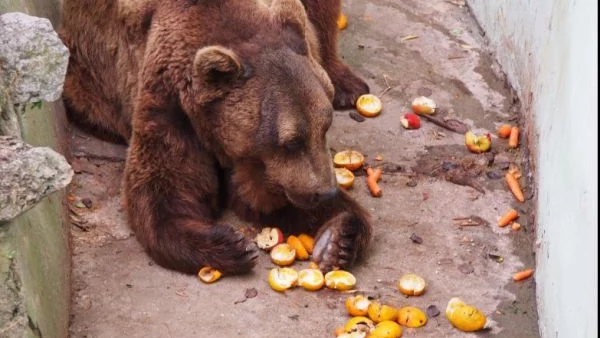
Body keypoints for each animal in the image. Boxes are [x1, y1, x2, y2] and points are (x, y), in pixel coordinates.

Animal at [59, 0, 370, 274]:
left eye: (325, 127)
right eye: (291, 141)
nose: (325, 191)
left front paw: (338, 237)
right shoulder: (170, 105)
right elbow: (164, 189)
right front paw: (230, 245)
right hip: (87, 75)